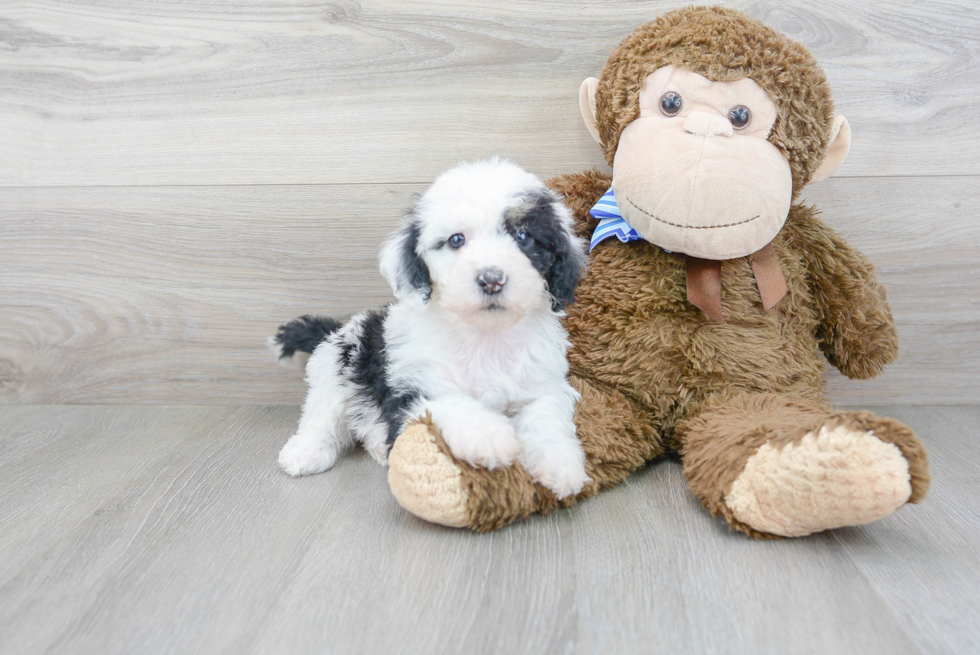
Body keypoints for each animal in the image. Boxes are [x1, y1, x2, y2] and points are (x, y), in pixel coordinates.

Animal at [268, 159, 588, 498]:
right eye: (457, 240)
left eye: (524, 236)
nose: (491, 279)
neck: (485, 334)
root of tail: (342, 327)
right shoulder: (414, 385)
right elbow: (449, 401)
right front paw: (488, 434)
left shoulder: (544, 383)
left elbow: (547, 415)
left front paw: (560, 463)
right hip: (336, 369)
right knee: (322, 416)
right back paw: (307, 451)